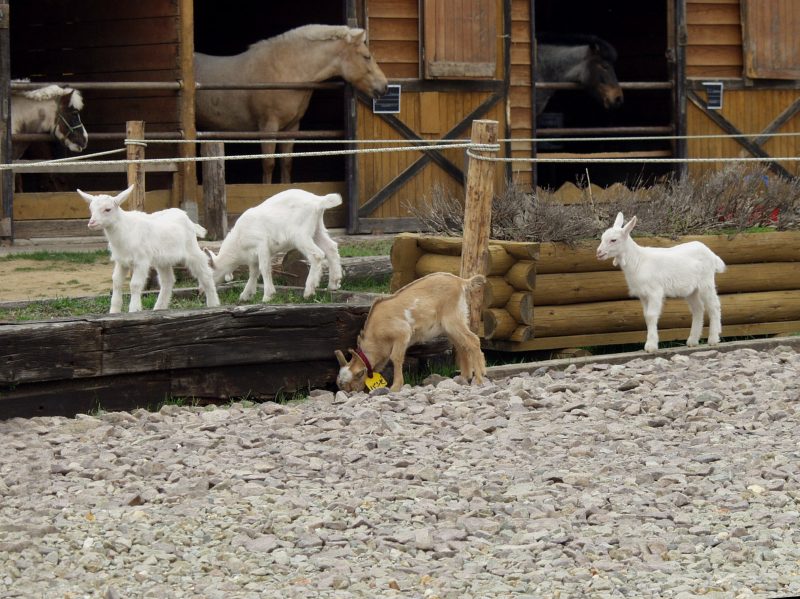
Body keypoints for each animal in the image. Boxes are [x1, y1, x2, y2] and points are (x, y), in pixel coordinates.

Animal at [78, 185, 220, 313]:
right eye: (91, 209)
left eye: (108, 209)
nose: (91, 223)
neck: (124, 229)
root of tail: (187, 218)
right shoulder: (121, 261)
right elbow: (116, 283)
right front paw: (114, 312)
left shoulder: (141, 261)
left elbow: (134, 285)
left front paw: (134, 310)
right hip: (163, 259)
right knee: (167, 280)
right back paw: (158, 308)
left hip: (191, 248)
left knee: (205, 272)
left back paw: (213, 304)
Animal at [205, 188, 343, 302]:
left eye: (209, 274)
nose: (201, 290)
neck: (238, 242)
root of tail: (318, 201)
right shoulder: (253, 256)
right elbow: (253, 272)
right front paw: (246, 295)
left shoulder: (261, 245)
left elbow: (264, 268)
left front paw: (267, 296)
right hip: (317, 229)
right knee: (331, 248)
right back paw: (333, 284)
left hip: (300, 234)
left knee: (317, 255)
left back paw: (309, 291)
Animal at [335, 272, 487, 392]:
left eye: (356, 377)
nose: (350, 393)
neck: (377, 335)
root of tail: (462, 281)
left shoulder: (402, 333)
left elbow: (395, 357)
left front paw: (395, 387)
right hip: (452, 325)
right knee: (462, 345)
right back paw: (464, 377)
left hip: (453, 320)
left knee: (473, 340)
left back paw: (480, 378)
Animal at [596, 212, 726, 352]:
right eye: (602, 238)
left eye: (613, 240)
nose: (599, 253)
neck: (638, 260)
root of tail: (711, 254)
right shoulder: (643, 295)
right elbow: (646, 316)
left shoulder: (654, 292)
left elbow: (651, 315)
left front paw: (651, 346)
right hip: (691, 290)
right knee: (698, 309)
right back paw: (692, 341)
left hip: (706, 281)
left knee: (714, 306)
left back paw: (713, 339)